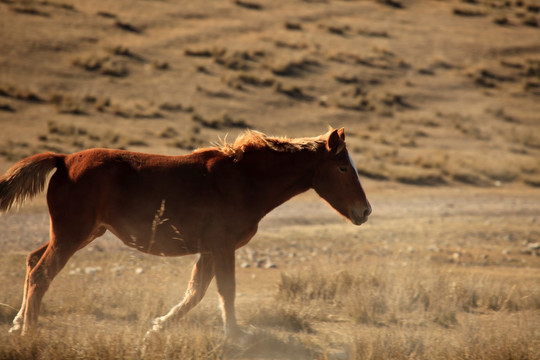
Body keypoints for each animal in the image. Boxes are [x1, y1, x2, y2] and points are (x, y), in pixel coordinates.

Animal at [0, 126, 372, 338]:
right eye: (342, 168)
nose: (365, 211)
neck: (244, 180)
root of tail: (63, 160)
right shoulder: (222, 247)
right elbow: (225, 291)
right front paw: (235, 335)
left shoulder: (209, 250)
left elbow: (196, 291)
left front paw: (159, 326)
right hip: (71, 235)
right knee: (42, 273)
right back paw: (29, 331)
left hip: (81, 233)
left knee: (32, 261)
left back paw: (18, 322)